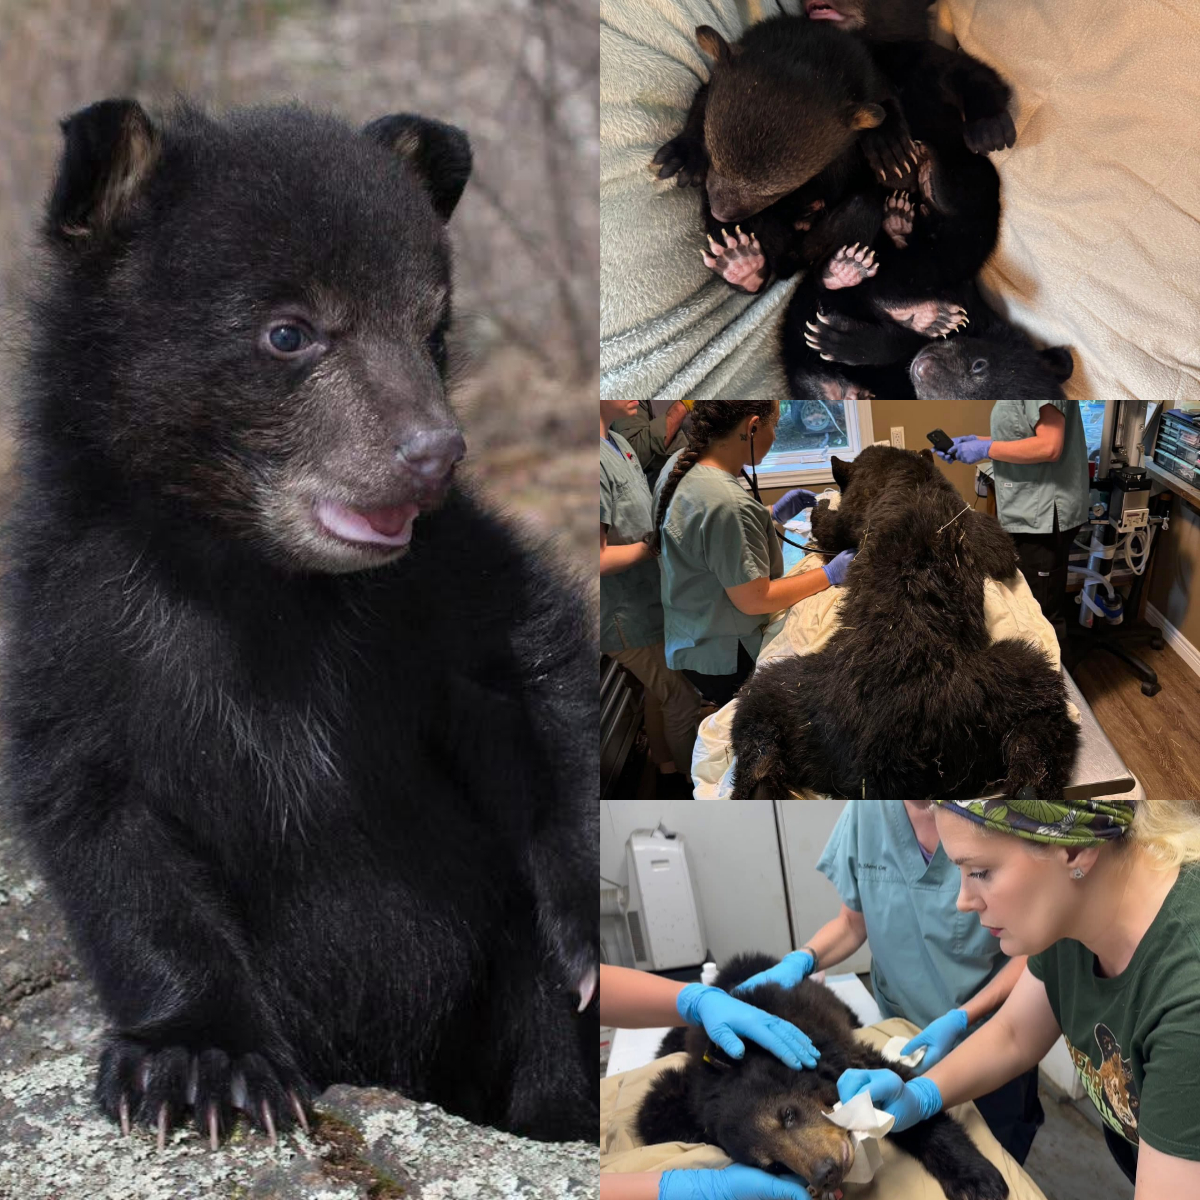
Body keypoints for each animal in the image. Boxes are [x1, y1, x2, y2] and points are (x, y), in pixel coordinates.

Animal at [1, 97, 597, 1148]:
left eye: (431, 328)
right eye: (289, 333)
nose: (434, 452)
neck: (257, 576)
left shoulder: (439, 580)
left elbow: (538, 674)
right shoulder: (71, 624)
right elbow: (107, 828)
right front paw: (199, 1064)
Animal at [636, 952, 1009, 1200]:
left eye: (787, 1114)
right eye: (774, 1166)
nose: (825, 1173)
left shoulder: (835, 1050)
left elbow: (906, 1097)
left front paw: (976, 1179)